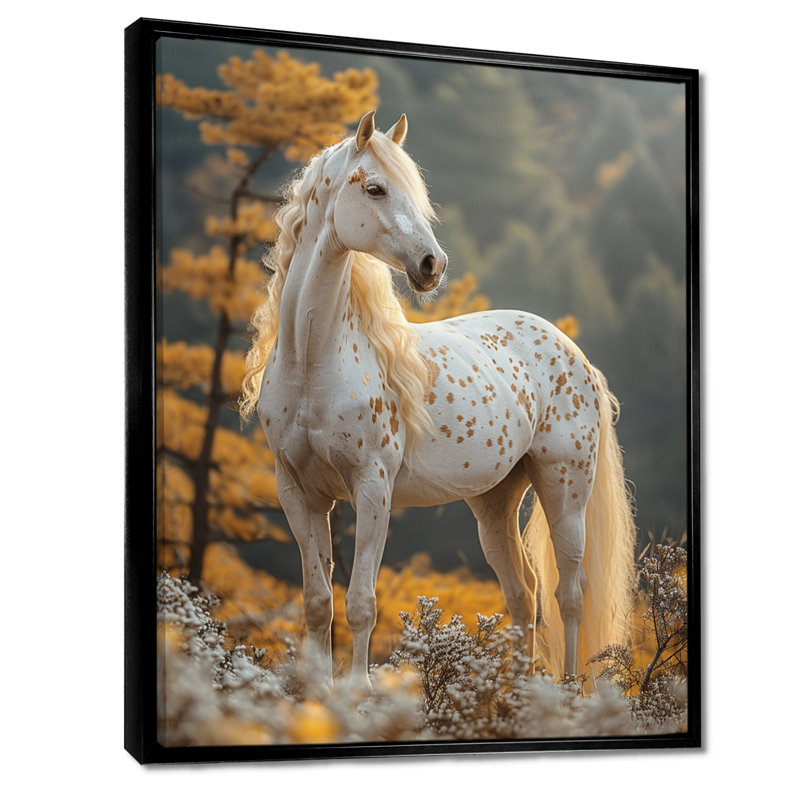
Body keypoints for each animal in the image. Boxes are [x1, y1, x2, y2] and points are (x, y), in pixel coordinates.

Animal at [241, 111, 636, 695]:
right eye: (376, 189)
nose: (432, 264)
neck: (314, 362)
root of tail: (577, 357)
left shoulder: (372, 490)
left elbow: (361, 603)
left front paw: (359, 694)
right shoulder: (299, 494)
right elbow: (317, 603)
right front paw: (317, 694)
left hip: (565, 488)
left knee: (568, 592)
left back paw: (565, 690)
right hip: (495, 502)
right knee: (523, 591)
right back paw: (514, 694)